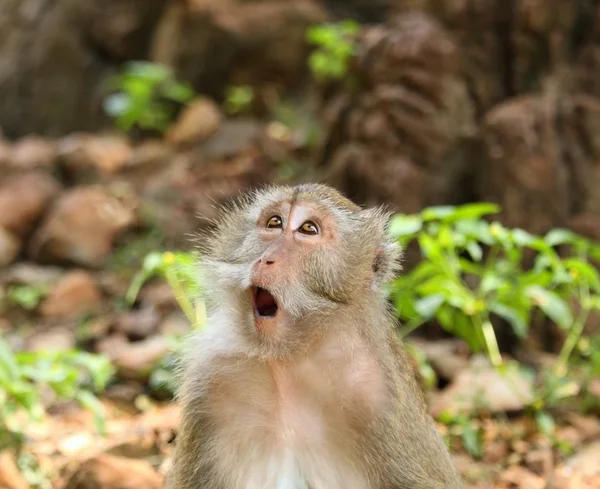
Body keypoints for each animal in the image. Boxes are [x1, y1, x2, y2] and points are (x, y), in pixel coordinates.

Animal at [165, 183, 464, 488]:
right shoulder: (210, 379)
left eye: (308, 229)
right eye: (274, 223)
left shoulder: (378, 395)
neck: (288, 357)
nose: (266, 259)